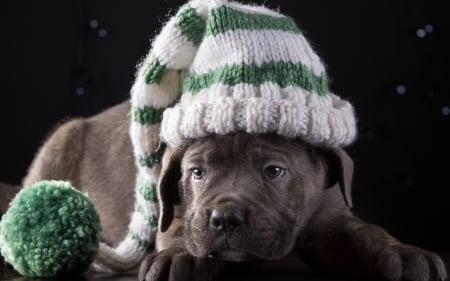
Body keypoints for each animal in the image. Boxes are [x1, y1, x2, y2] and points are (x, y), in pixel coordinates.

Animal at [2, 101, 446, 278]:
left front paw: (406, 253)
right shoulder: (176, 206)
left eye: (274, 171)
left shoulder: (332, 222)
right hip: (59, 143)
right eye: (197, 173)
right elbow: (179, 230)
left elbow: (369, 233)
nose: (225, 219)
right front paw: (176, 257)